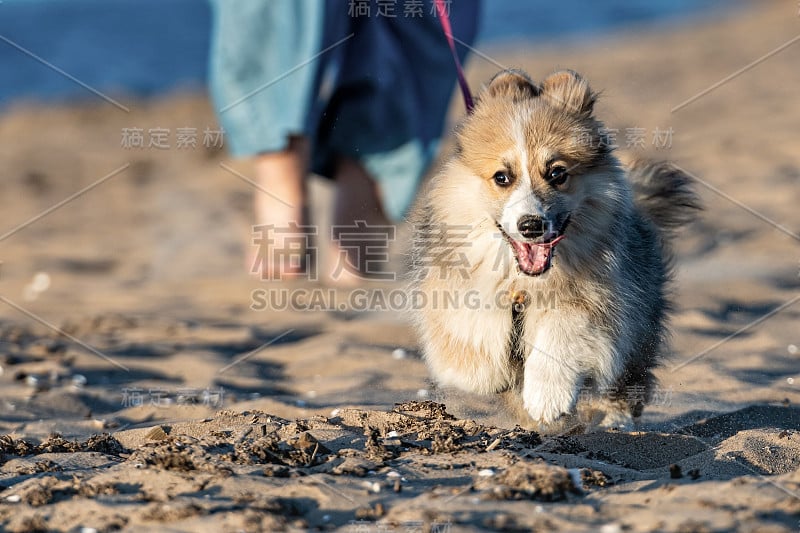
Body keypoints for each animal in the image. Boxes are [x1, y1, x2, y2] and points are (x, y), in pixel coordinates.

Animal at [406, 68, 700, 430]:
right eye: (502, 177)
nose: (531, 226)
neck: (524, 283)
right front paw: (482, 374)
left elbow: (563, 332)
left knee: (623, 386)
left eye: (557, 173)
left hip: (638, 334)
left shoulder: (596, 301)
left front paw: (548, 398)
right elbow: (468, 324)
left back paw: (612, 422)